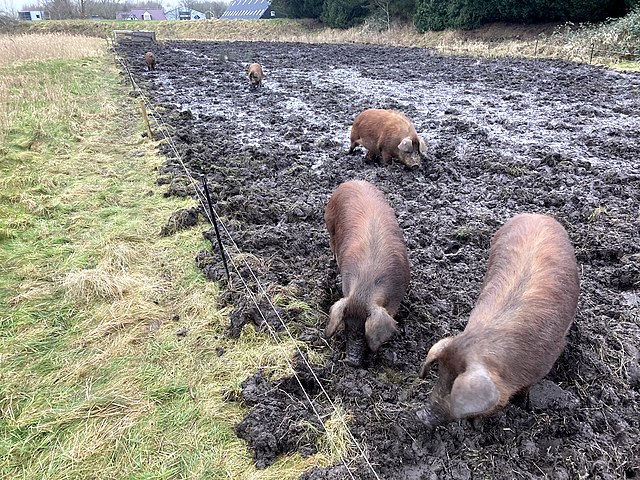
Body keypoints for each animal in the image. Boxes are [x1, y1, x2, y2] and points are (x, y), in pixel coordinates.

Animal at [418, 214, 584, 428]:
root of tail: (536, 215)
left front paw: (521, 405)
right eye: (439, 374)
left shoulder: (546, 361)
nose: (420, 415)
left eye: (454, 387)